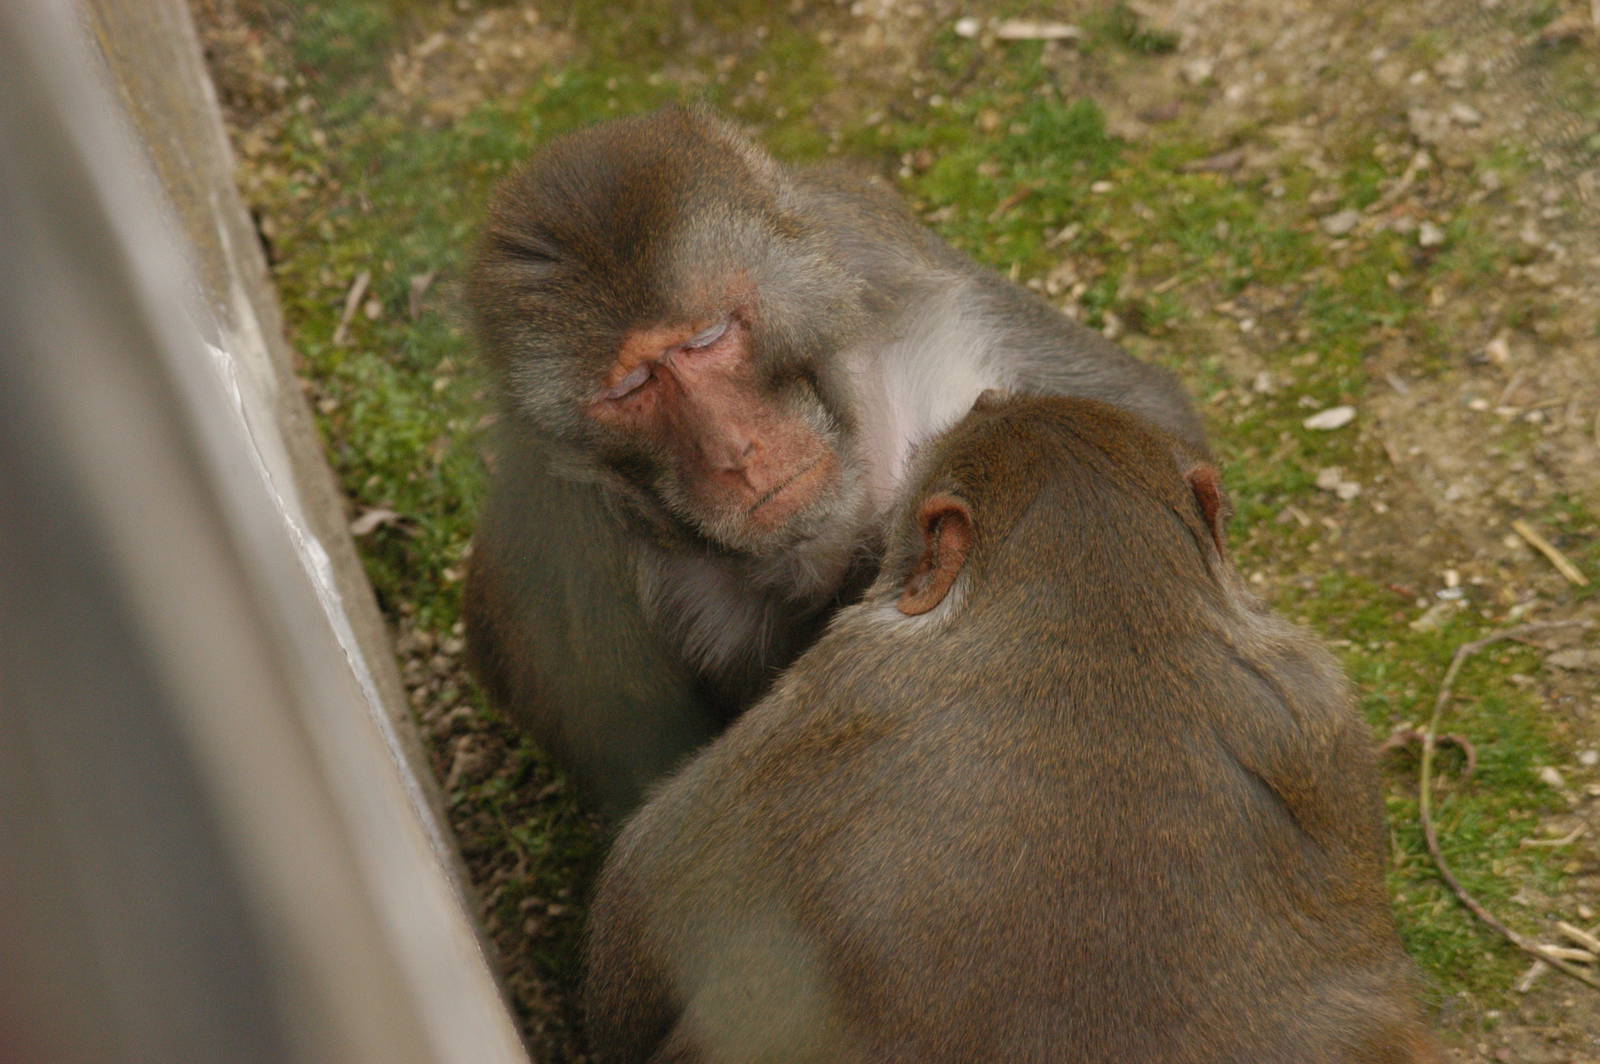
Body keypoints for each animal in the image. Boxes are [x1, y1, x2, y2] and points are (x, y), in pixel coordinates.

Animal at [465, 104, 1210, 817]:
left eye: (706, 337)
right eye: (629, 388)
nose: (733, 449)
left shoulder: (888, 260)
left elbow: (1141, 409)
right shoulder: (568, 552)